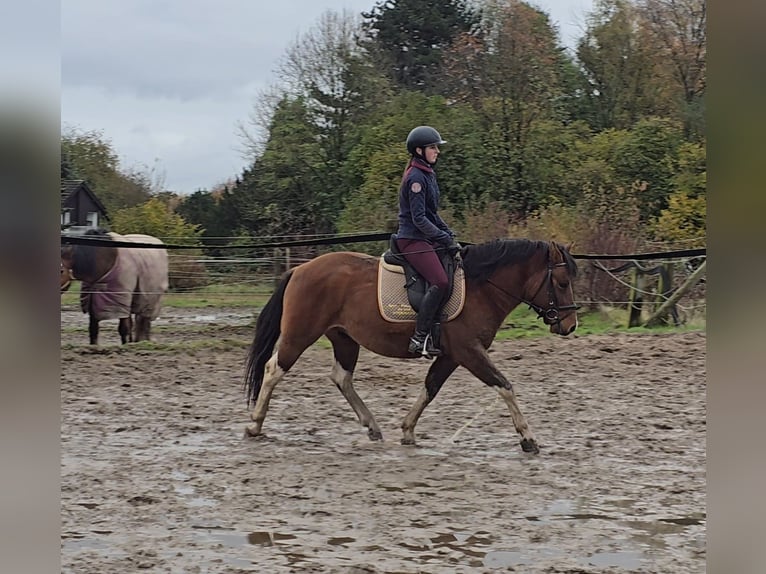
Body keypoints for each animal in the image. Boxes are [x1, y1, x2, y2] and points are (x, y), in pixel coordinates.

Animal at [243, 238, 580, 454]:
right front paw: (528, 438)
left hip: (344, 338)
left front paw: (407, 430)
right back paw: (255, 425)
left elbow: (431, 388)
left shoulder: (451, 356)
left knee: (342, 378)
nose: (569, 325)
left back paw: (372, 426)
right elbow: (504, 385)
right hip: (300, 334)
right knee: (274, 369)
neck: (481, 288)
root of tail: (299, 269)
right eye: (562, 282)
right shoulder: (469, 351)